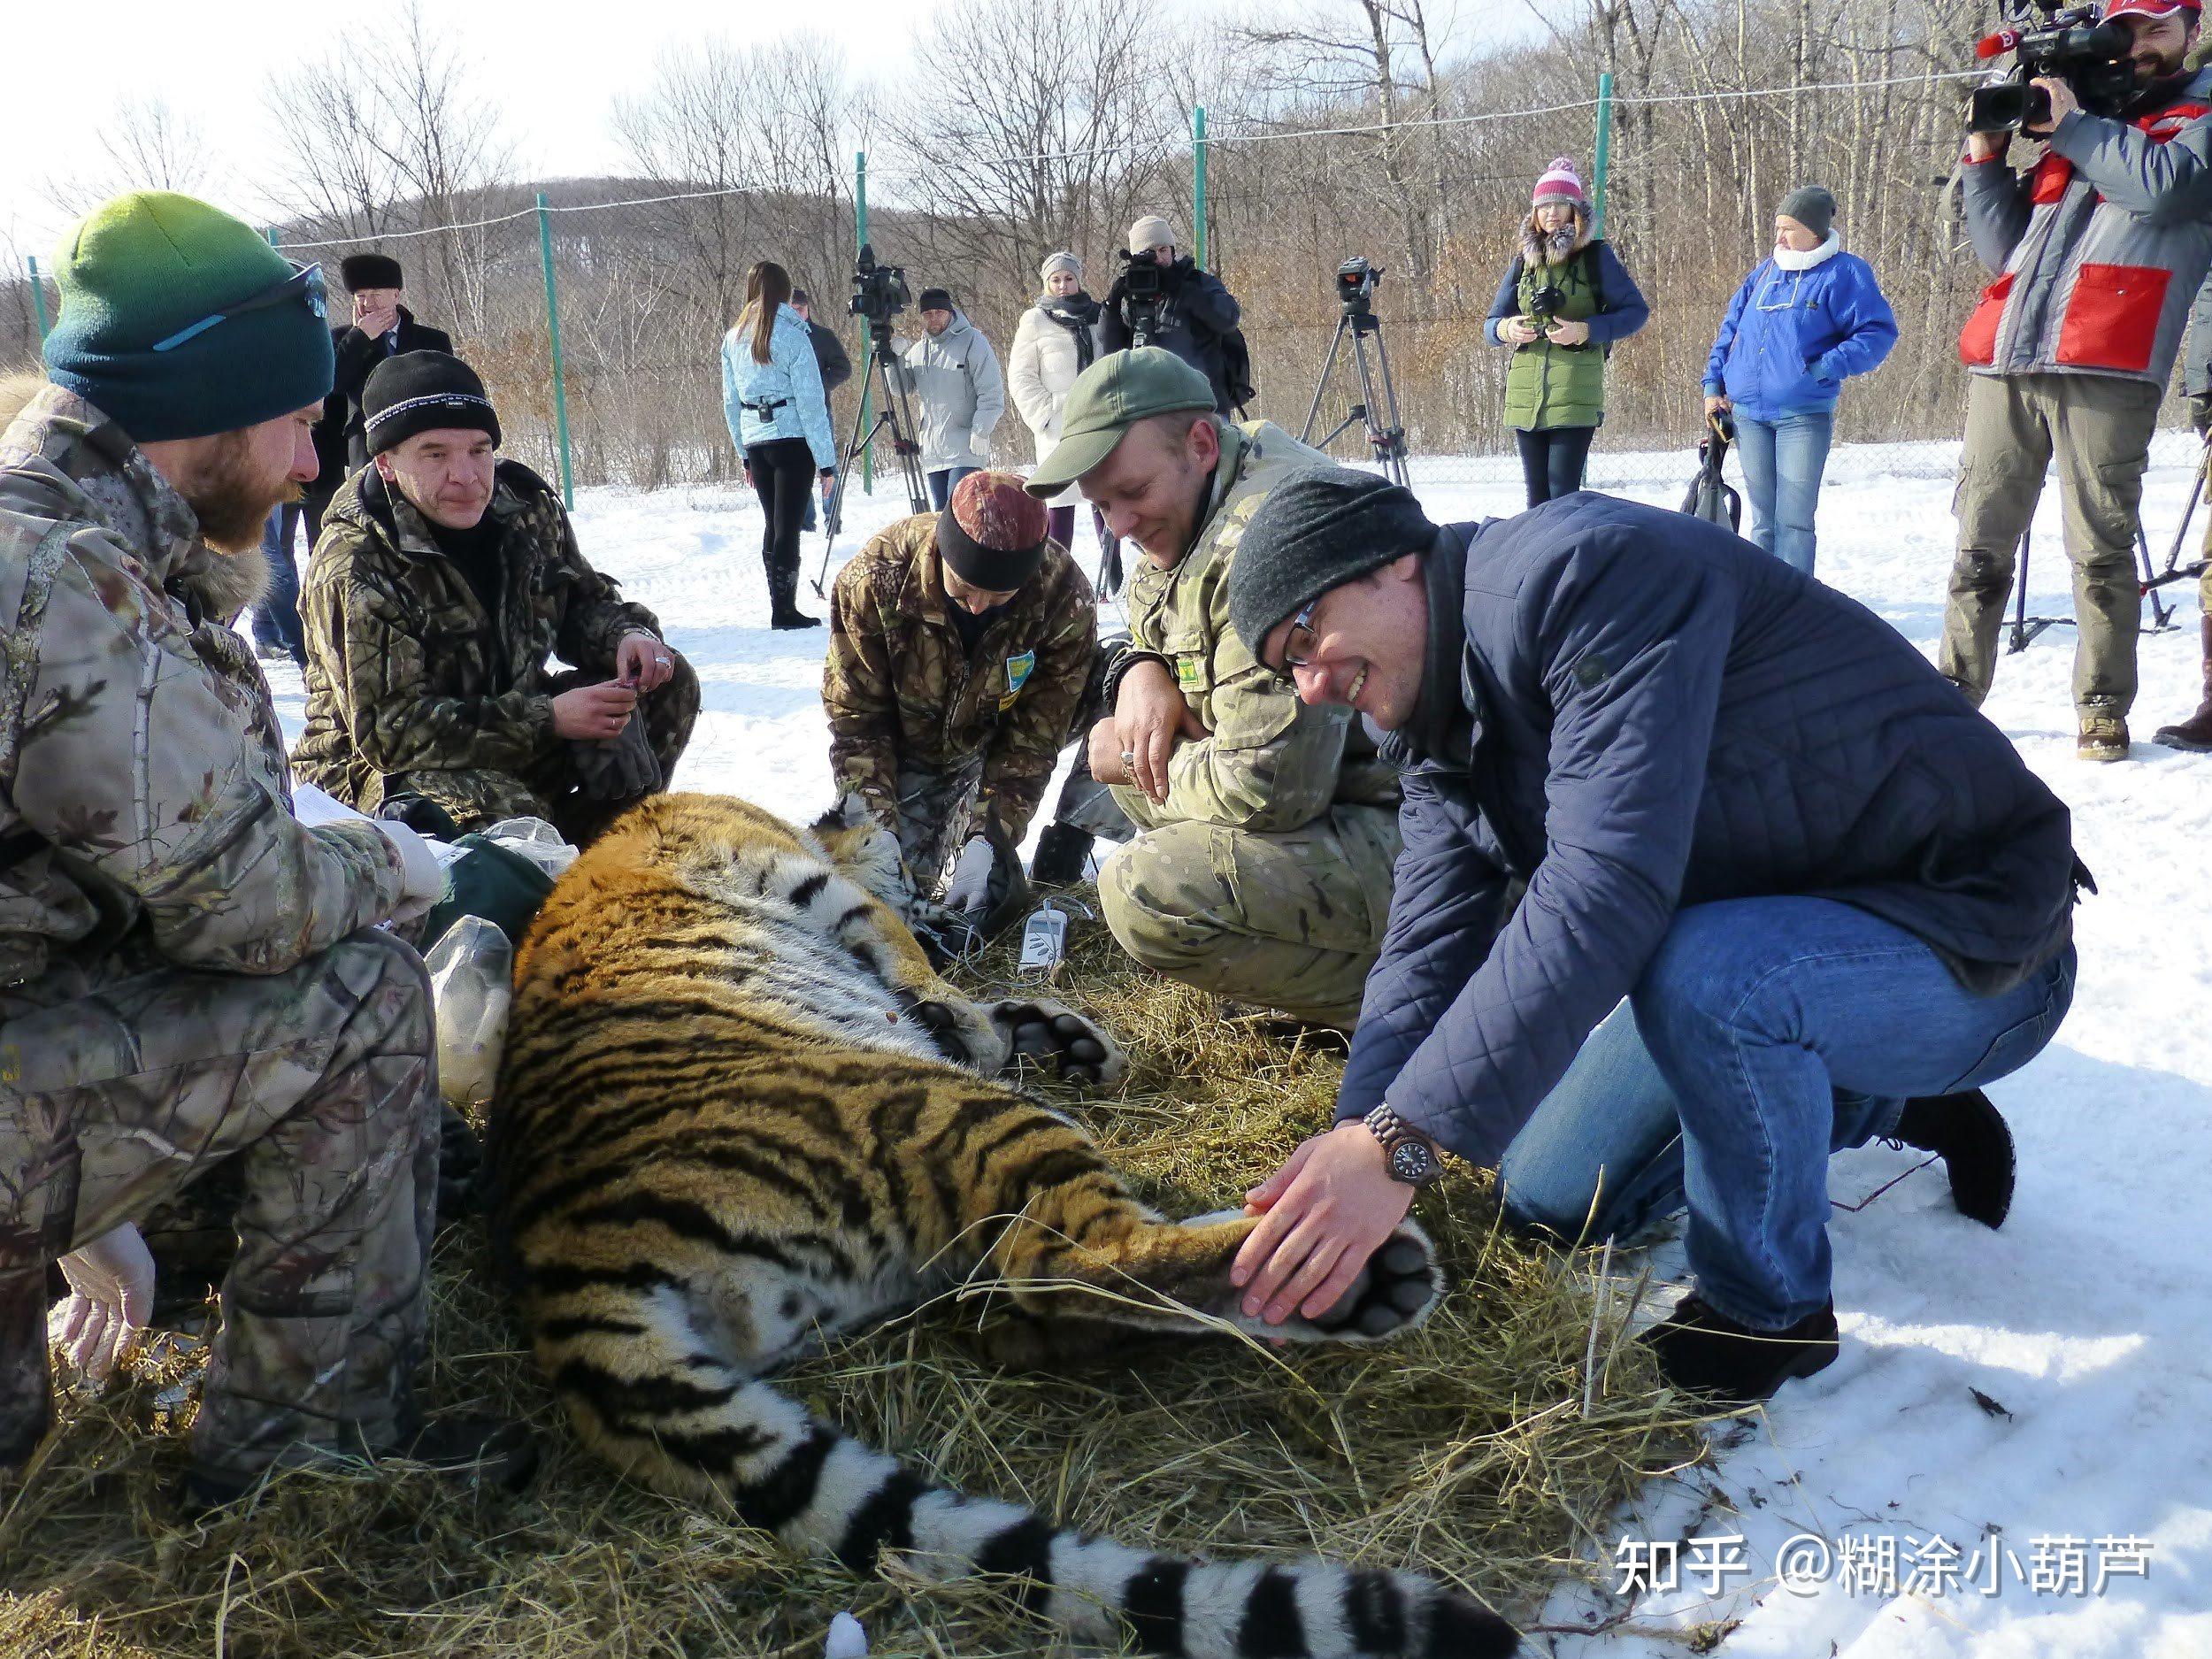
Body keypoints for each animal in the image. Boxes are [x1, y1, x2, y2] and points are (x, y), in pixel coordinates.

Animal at [484, 792, 1522, 1659]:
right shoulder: (812, 882)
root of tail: (559, 1266)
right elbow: (904, 950)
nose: (950, 864)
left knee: (1022, 1307)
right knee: (1079, 1262)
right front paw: (982, 1019)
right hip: (942, 1111)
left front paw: (1054, 1032)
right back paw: (1357, 1274)